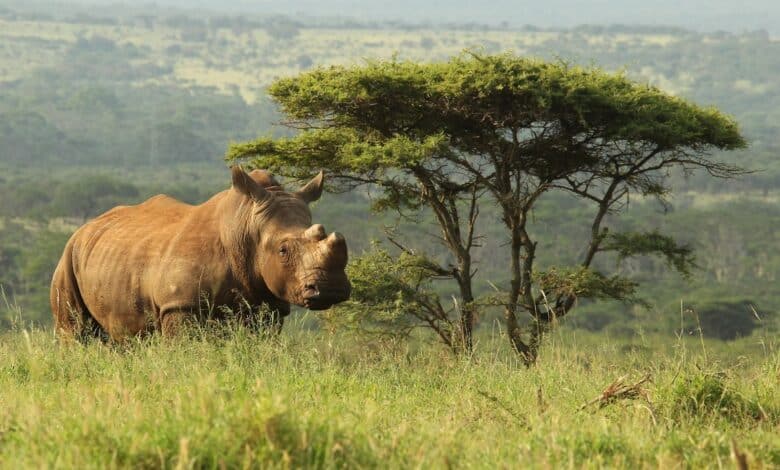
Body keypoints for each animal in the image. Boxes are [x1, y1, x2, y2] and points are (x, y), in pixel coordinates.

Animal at [50, 166, 350, 340]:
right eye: (283, 250)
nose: (331, 288)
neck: (244, 228)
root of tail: (84, 229)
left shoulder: (268, 305)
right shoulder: (180, 304)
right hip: (68, 257)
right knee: (77, 332)